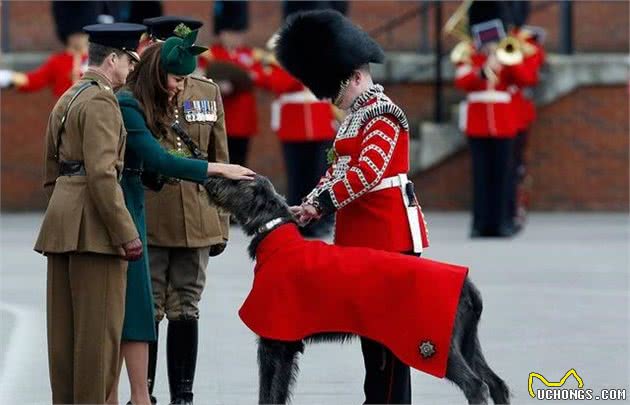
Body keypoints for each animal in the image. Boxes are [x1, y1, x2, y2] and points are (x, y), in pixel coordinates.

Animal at [205, 175, 512, 402]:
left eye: (237, 180)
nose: (209, 176)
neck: (275, 234)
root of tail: (467, 285)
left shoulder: (276, 340)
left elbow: (269, 392)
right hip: (466, 341)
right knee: (496, 383)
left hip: (436, 347)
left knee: (477, 385)